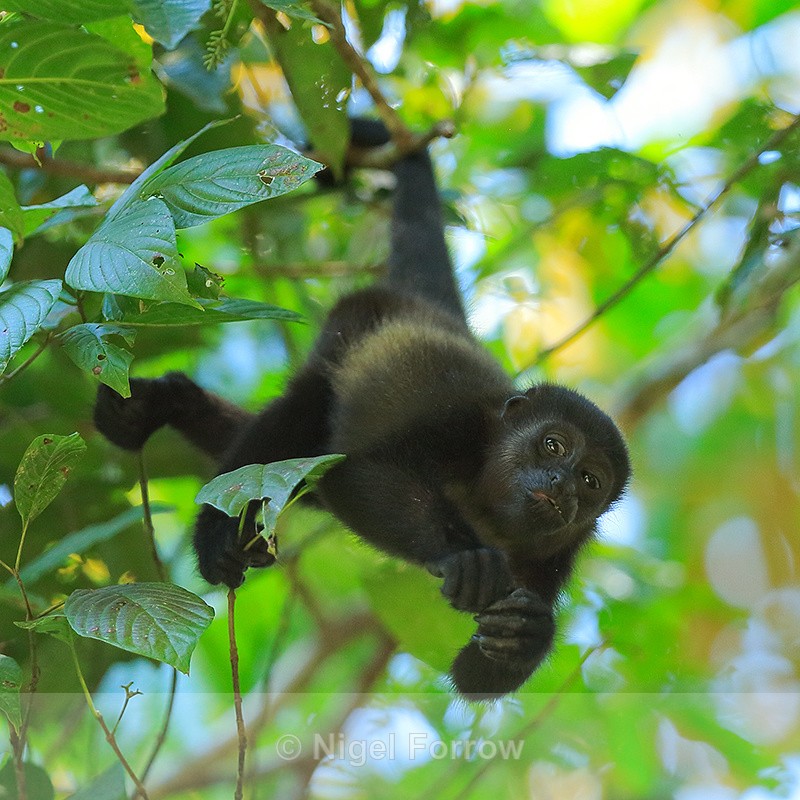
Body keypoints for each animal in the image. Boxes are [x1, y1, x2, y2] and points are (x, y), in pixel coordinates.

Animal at [94, 119, 631, 699]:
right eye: (552, 445)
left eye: (590, 481)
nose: (561, 486)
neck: (487, 506)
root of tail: (433, 311)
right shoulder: (457, 428)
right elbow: (353, 474)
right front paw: (460, 556)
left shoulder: (558, 556)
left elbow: (478, 678)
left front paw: (526, 635)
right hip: (353, 321)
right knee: (302, 412)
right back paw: (217, 533)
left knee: (299, 474)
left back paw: (167, 401)